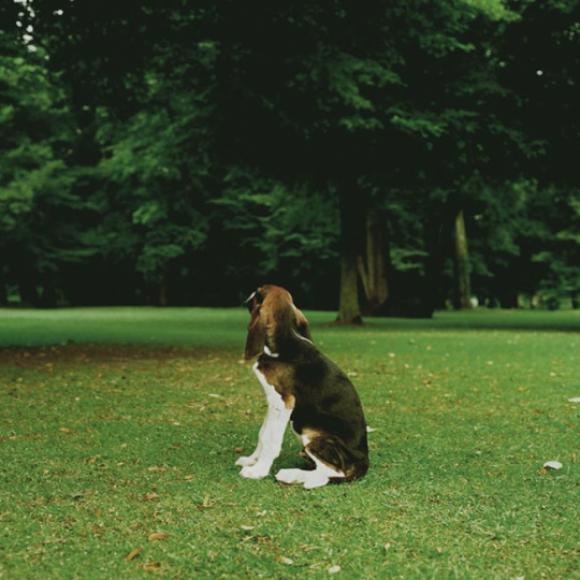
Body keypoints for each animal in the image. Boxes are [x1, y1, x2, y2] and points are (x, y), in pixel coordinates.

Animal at [234, 284, 368, 488]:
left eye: (258, 293)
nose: (246, 298)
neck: (284, 342)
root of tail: (364, 462)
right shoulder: (273, 402)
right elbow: (263, 434)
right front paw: (252, 460)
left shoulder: (283, 403)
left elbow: (271, 440)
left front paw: (259, 471)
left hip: (312, 434)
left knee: (330, 473)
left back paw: (291, 475)